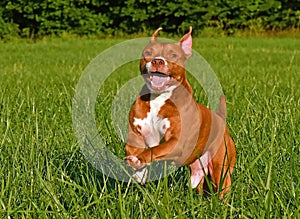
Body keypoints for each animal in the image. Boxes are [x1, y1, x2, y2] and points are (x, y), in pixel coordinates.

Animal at [124, 27, 237, 198]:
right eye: (148, 52)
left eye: (173, 55)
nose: (157, 61)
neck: (158, 98)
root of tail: (220, 118)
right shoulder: (135, 133)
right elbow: (132, 148)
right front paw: (139, 172)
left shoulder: (176, 142)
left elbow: (155, 149)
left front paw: (139, 162)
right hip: (198, 170)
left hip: (221, 166)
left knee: (223, 185)